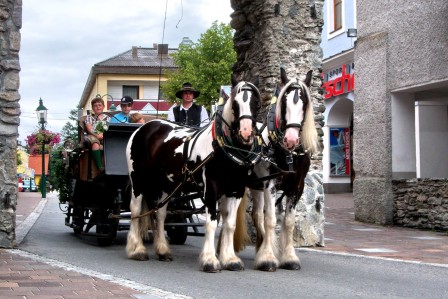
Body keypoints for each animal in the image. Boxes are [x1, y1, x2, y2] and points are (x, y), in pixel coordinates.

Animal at [124, 76, 260, 274]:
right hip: (138, 181)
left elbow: (230, 225)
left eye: (256, 103)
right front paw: (210, 260)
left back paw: (163, 250)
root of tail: (144, 127)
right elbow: (211, 223)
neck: (222, 148)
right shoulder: (211, 190)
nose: (246, 133)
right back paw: (137, 249)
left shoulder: (236, 190)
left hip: (166, 186)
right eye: (235, 104)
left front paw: (230, 259)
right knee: (135, 211)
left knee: (160, 214)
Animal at [238, 68, 318, 272]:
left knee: (257, 214)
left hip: (256, 186)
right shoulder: (270, 184)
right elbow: (271, 220)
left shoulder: (297, 186)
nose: (290, 139)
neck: (288, 154)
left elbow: (288, 222)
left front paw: (289, 258)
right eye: (284, 102)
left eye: (305, 103)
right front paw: (267, 258)